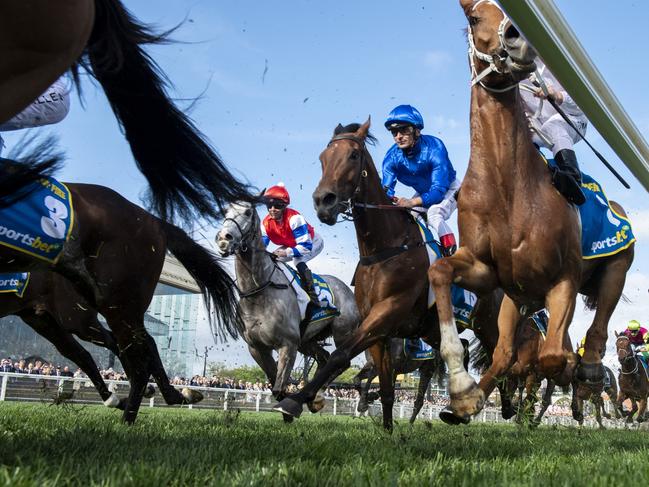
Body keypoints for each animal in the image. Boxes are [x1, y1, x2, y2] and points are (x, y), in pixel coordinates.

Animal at [216, 202, 360, 424]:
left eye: (248, 212)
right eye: (225, 211)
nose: (224, 238)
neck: (259, 291)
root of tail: (347, 290)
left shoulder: (288, 344)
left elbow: (278, 386)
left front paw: (290, 407)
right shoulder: (257, 347)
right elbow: (274, 384)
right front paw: (291, 405)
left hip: (343, 332)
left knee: (340, 360)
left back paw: (316, 395)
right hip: (307, 341)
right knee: (324, 358)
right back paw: (313, 397)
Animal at [272, 121, 502, 430]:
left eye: (353, 155)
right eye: (322, 158)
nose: (323, 201)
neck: (385, 249)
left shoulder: (389, 310)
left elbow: (340, 356)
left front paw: (294, 401)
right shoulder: (379, 326)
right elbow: (385, 388)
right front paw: (387, 430)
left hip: (488, 325)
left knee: (509, 357)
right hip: (432, 329)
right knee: (464, 348)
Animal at [426, 0, 632, 426]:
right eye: (474, 16)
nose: (517, 37)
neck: (507, 187)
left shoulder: (564, 277)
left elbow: (554, 358)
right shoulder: (485, 270)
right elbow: (439, 270)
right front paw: (462, 390)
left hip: (616, 267)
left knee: (597, 327)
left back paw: (589, 370)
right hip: (515, 300)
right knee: (505, 354)